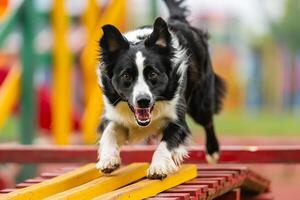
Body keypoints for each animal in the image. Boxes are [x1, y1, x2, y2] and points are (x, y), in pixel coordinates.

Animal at [96, 0, 225, 178]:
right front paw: (108, 160)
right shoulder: (115, 112)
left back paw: (212, 152)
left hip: (201, 103)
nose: (143, 101)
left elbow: (166, 143)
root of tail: (177, 20)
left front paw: (158, 167)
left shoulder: (178, 119)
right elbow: (109, 131)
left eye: (152, 74)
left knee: (208, 121)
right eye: (126, 76)